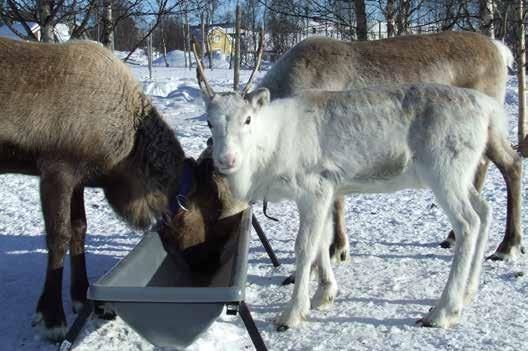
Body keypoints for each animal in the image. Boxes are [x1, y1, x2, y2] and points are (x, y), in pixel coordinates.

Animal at [204, 84, 510, 332]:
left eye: (247, 119)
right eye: (209, 122)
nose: (226, 160)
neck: (272, 143)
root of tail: (488, 108)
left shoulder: (313, 190)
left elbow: (305, 247)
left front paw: (291, 315)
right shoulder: (328, 193)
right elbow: (322, 241)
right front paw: (324, 296)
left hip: (445, 174)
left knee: (468, 223)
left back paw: (441, 312)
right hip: (461, 177)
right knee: (485, 211)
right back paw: (468, 292)